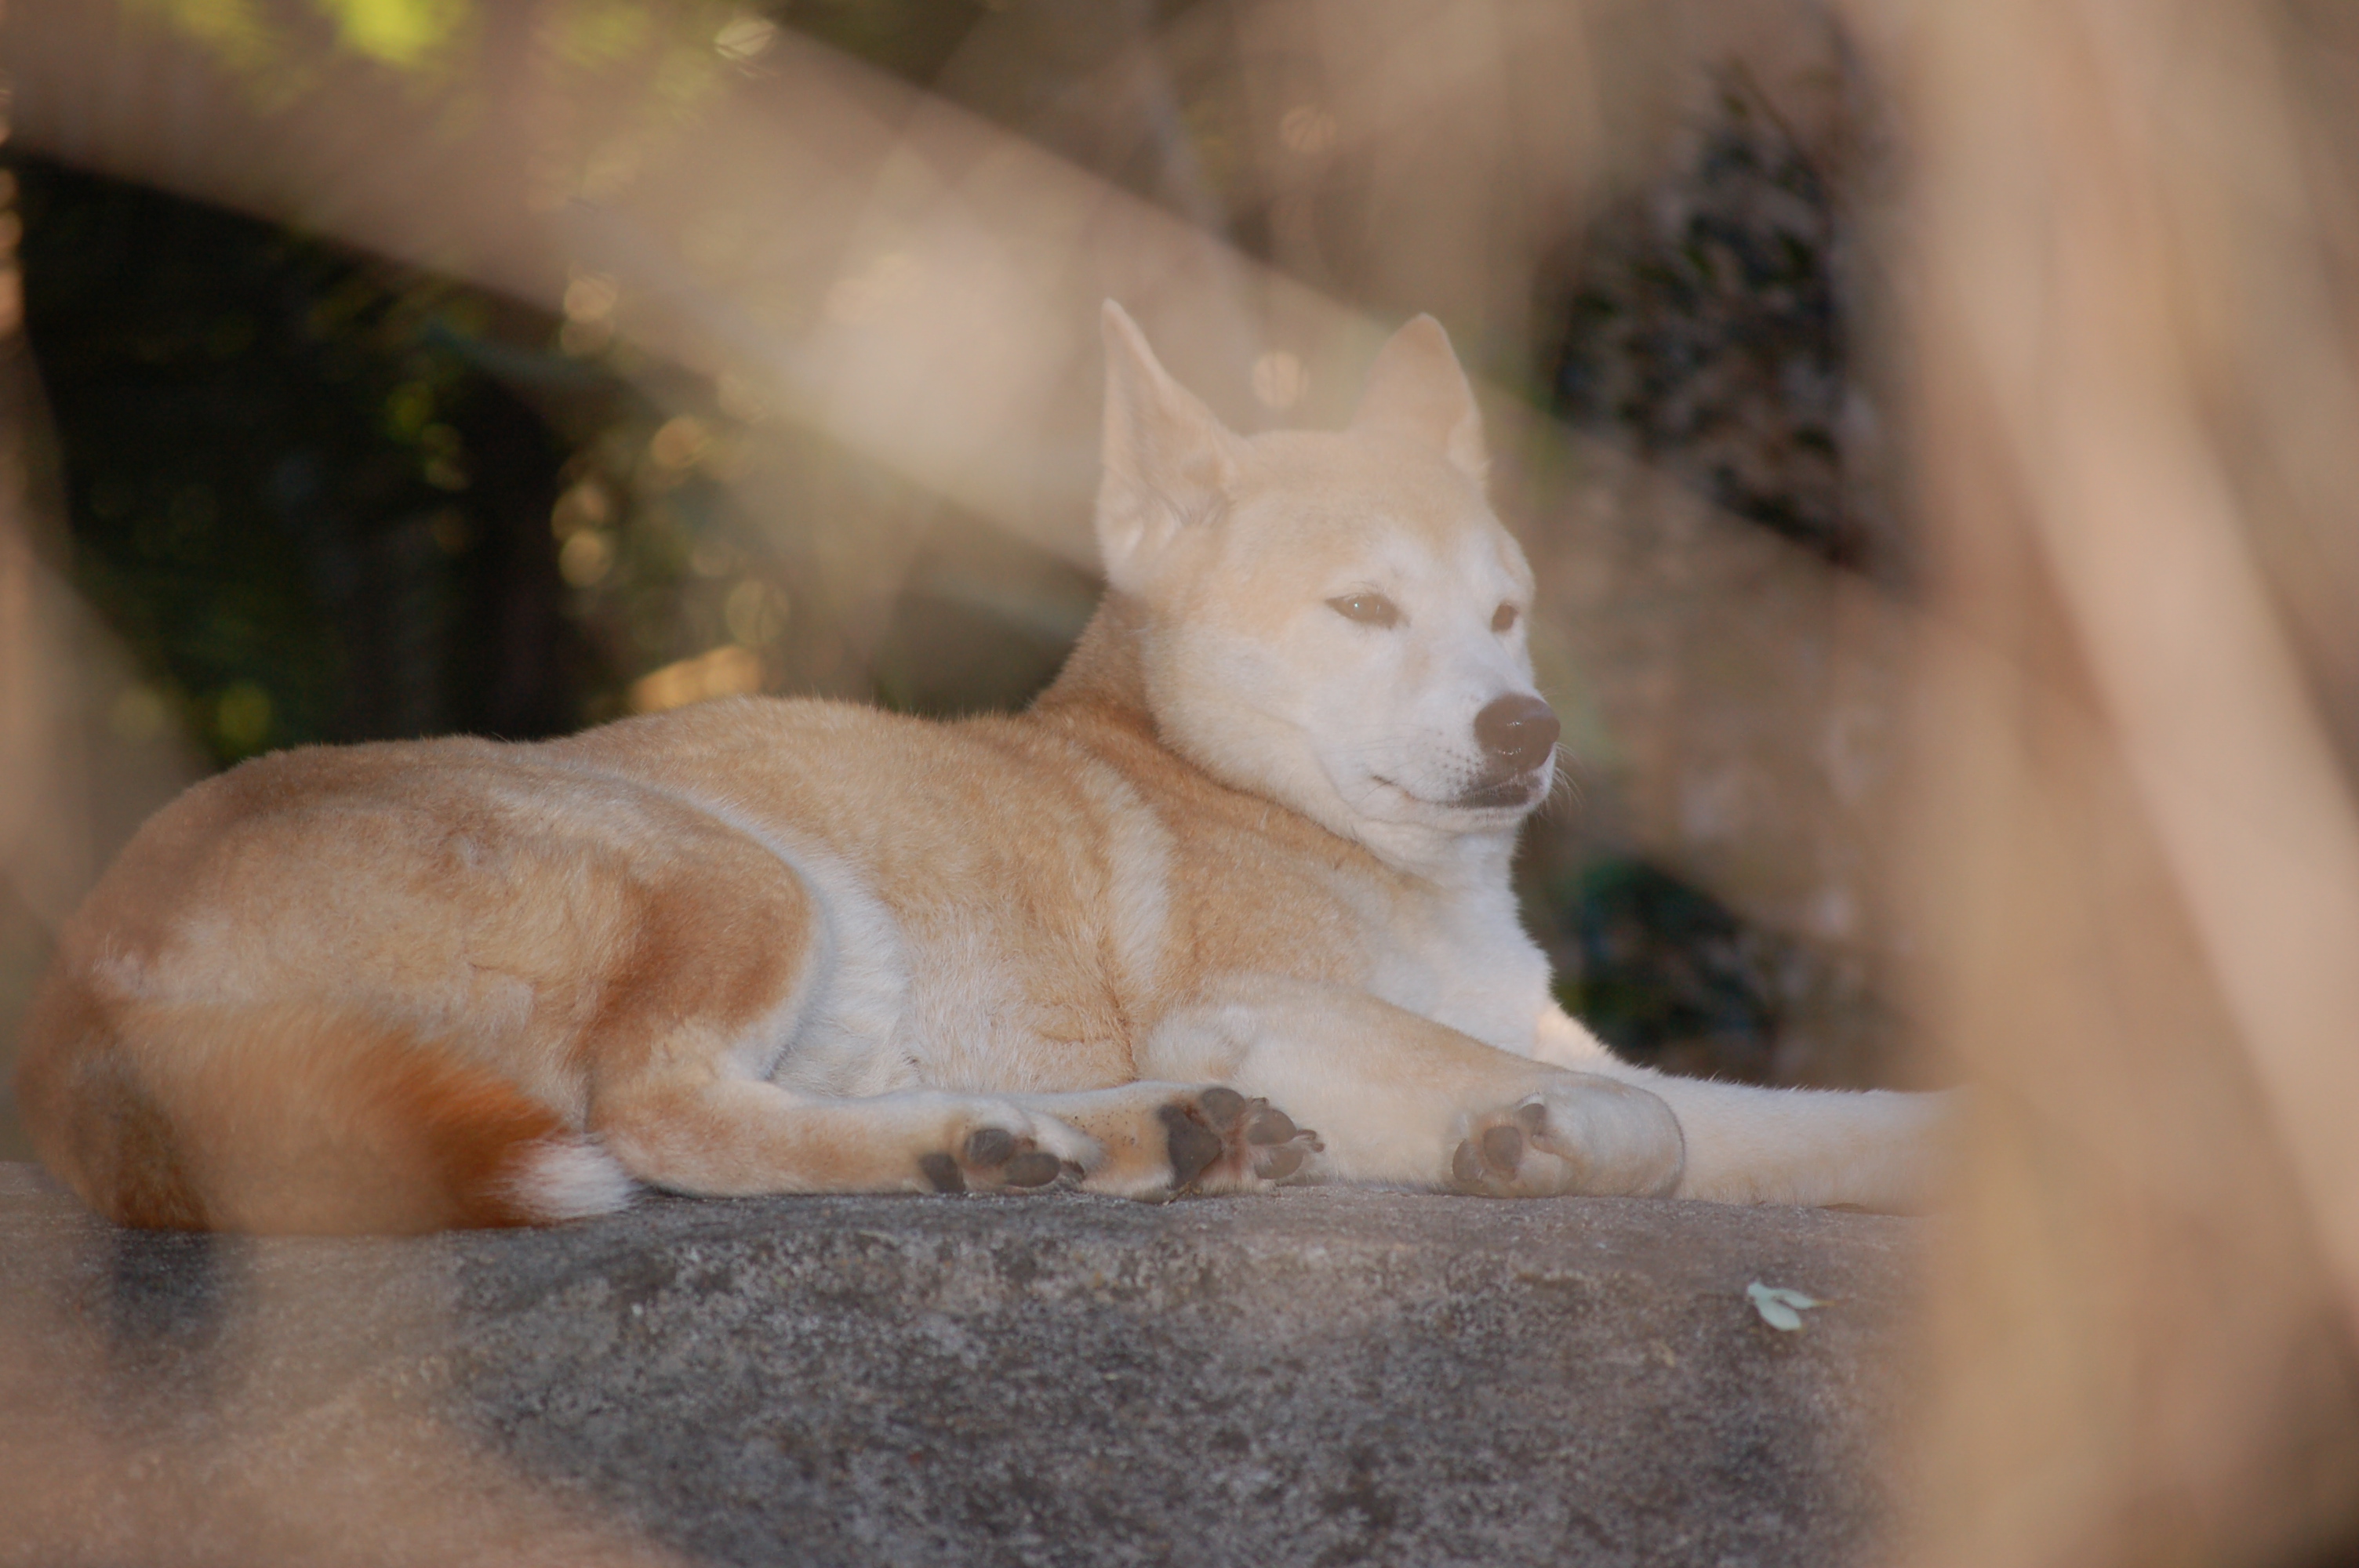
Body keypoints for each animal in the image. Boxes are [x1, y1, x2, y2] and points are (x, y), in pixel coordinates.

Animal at [14, 303, 1944, 1233]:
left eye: (1506, 616)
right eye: (1361, 608)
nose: (1524, 730)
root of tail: (82, 977)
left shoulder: (1520, 1029)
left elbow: (1805, 1122)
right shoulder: (1252, 1002)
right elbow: (1643, 1126)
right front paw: (1525, 1148)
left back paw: (1121, 1139)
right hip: (740, 870)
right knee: (663, 1118)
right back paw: (1015, 1144)